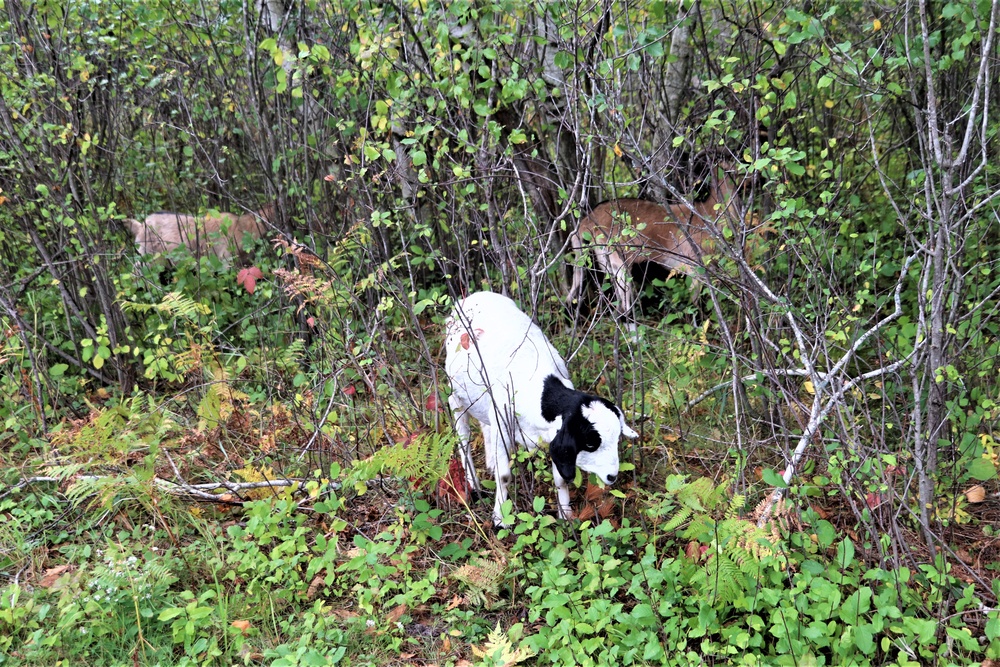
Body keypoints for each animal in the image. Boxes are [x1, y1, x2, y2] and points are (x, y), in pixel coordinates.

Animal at [448, 292, 640, 528]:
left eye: (617, 438)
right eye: (589, 443)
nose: (612, 476)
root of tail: (475, 295)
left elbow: (560, 479)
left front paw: (565, 515)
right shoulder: (503, 423)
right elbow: (504, 476)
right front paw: (500, 518)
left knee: (485, 426)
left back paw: (490, 463)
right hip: (457, 396)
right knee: (463, 434)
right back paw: (472, 482)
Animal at [568, 164, 748, 316]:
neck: (708, 213)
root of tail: (587, 222)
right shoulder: (695, 266)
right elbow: (695, 301)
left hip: (605, 261)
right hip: (619, 260)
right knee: (625, 302)